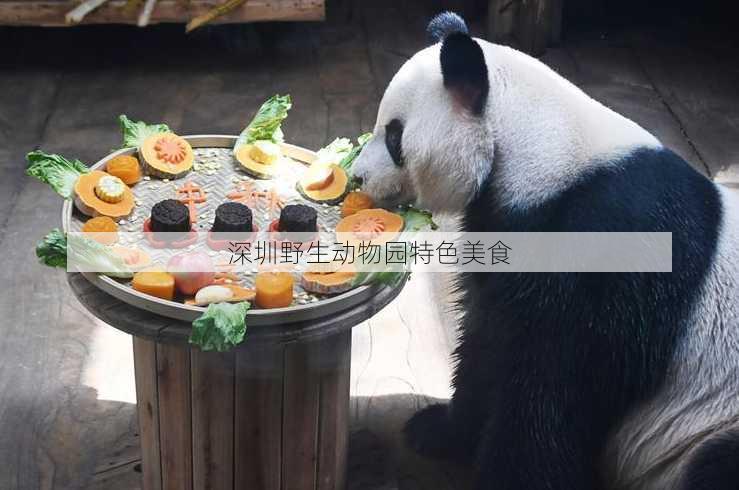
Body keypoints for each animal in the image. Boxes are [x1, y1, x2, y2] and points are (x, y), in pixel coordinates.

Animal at [350, 10, 739, 490]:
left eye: (394, 138)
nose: (358, 178)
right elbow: (488, 338)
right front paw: (437, 430)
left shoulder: (607, 255)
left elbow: (554, 386)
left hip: (712, 422)